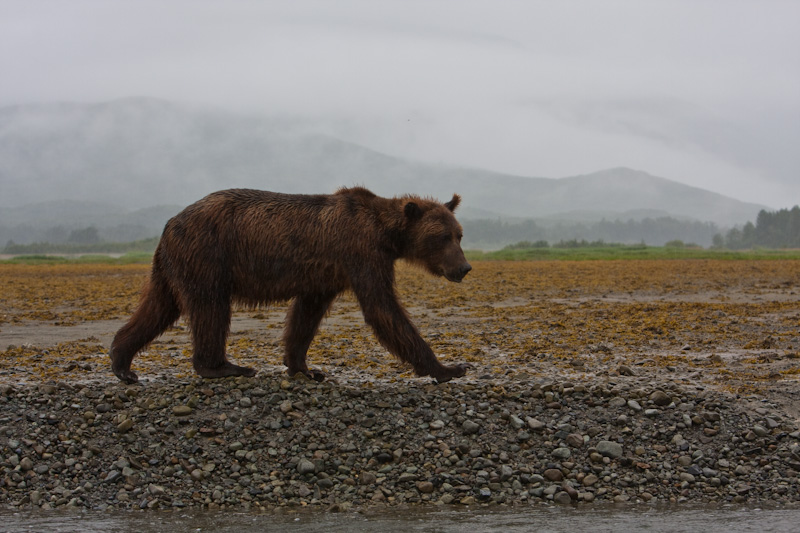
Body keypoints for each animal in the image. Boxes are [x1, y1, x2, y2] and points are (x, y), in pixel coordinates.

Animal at [111, 187, 476, 382]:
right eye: (442, 237)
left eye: (459, 234)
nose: (464, 267)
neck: (386, 234)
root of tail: (169, 224)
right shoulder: (360, 252)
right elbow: (382, 308)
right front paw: (449, 367)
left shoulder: (325, 274)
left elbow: (306, 315)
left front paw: (304, 367)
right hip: (207, 254)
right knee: (210, 308)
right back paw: (225, 367)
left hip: (171, 266)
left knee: (159, 307)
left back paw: (122, 363)